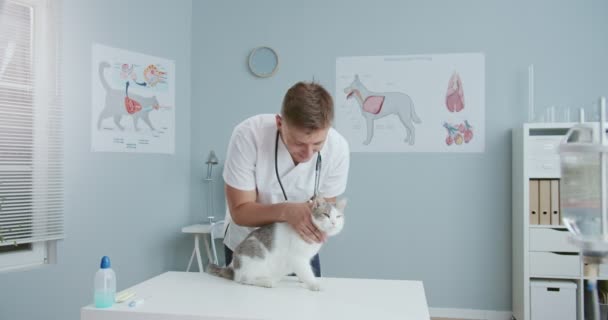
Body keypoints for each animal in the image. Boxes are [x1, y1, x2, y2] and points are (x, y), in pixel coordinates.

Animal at [207, 196, 344, 292]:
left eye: (338, 216)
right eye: (326, 215)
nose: (333, 222)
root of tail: (233, 266)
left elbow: (304, 271)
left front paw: (302, 280)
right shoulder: (298, 258)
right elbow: (307, 272)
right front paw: (313, 284)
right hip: (255, 257)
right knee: (243, 279)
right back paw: (267, 282)